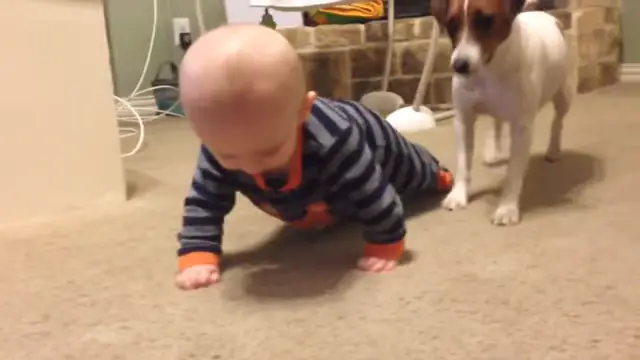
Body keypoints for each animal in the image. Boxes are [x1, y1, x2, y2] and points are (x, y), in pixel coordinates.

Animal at [432, 0, 572, 225]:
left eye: (486, 20)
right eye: (451, 24)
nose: (459, 65)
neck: (491, 66)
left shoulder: (522, 127)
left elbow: (514, 171)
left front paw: (507, 208)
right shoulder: (463, 119)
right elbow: (463, 162)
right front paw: (458, 195)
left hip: (563, 94)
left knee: (557, 121)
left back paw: (553, 149)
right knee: (496, 121)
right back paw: (493, 151)